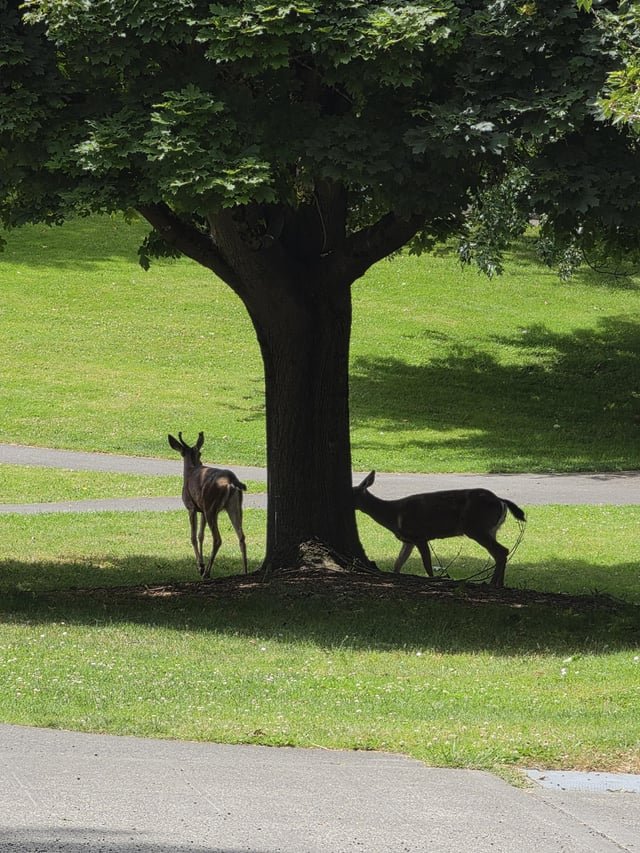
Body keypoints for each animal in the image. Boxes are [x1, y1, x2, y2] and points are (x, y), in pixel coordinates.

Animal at [168, 431, 248, 578]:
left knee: (217, 539)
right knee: (241, 536)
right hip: (235, 506)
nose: (200, 462)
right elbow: (201, 535)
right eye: (199, 453)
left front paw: (200, 566)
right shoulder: (202, 510)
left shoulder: (191, 507)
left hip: (212, 507)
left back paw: (207, 573)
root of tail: (231, 481)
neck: (190, 470)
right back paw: (245, 570)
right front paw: (201, 564)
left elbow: (193, 537)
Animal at [353, 471, 526, 588]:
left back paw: (492, 583)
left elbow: (427, 565)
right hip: (490, 529)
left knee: (501, 551)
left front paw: (433, 580)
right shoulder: (408, 540)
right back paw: (498, 583)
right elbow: (397, 564)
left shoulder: (420, 536)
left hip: (477, 527)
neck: (393, 515)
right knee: (500, 552)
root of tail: (501, 501)